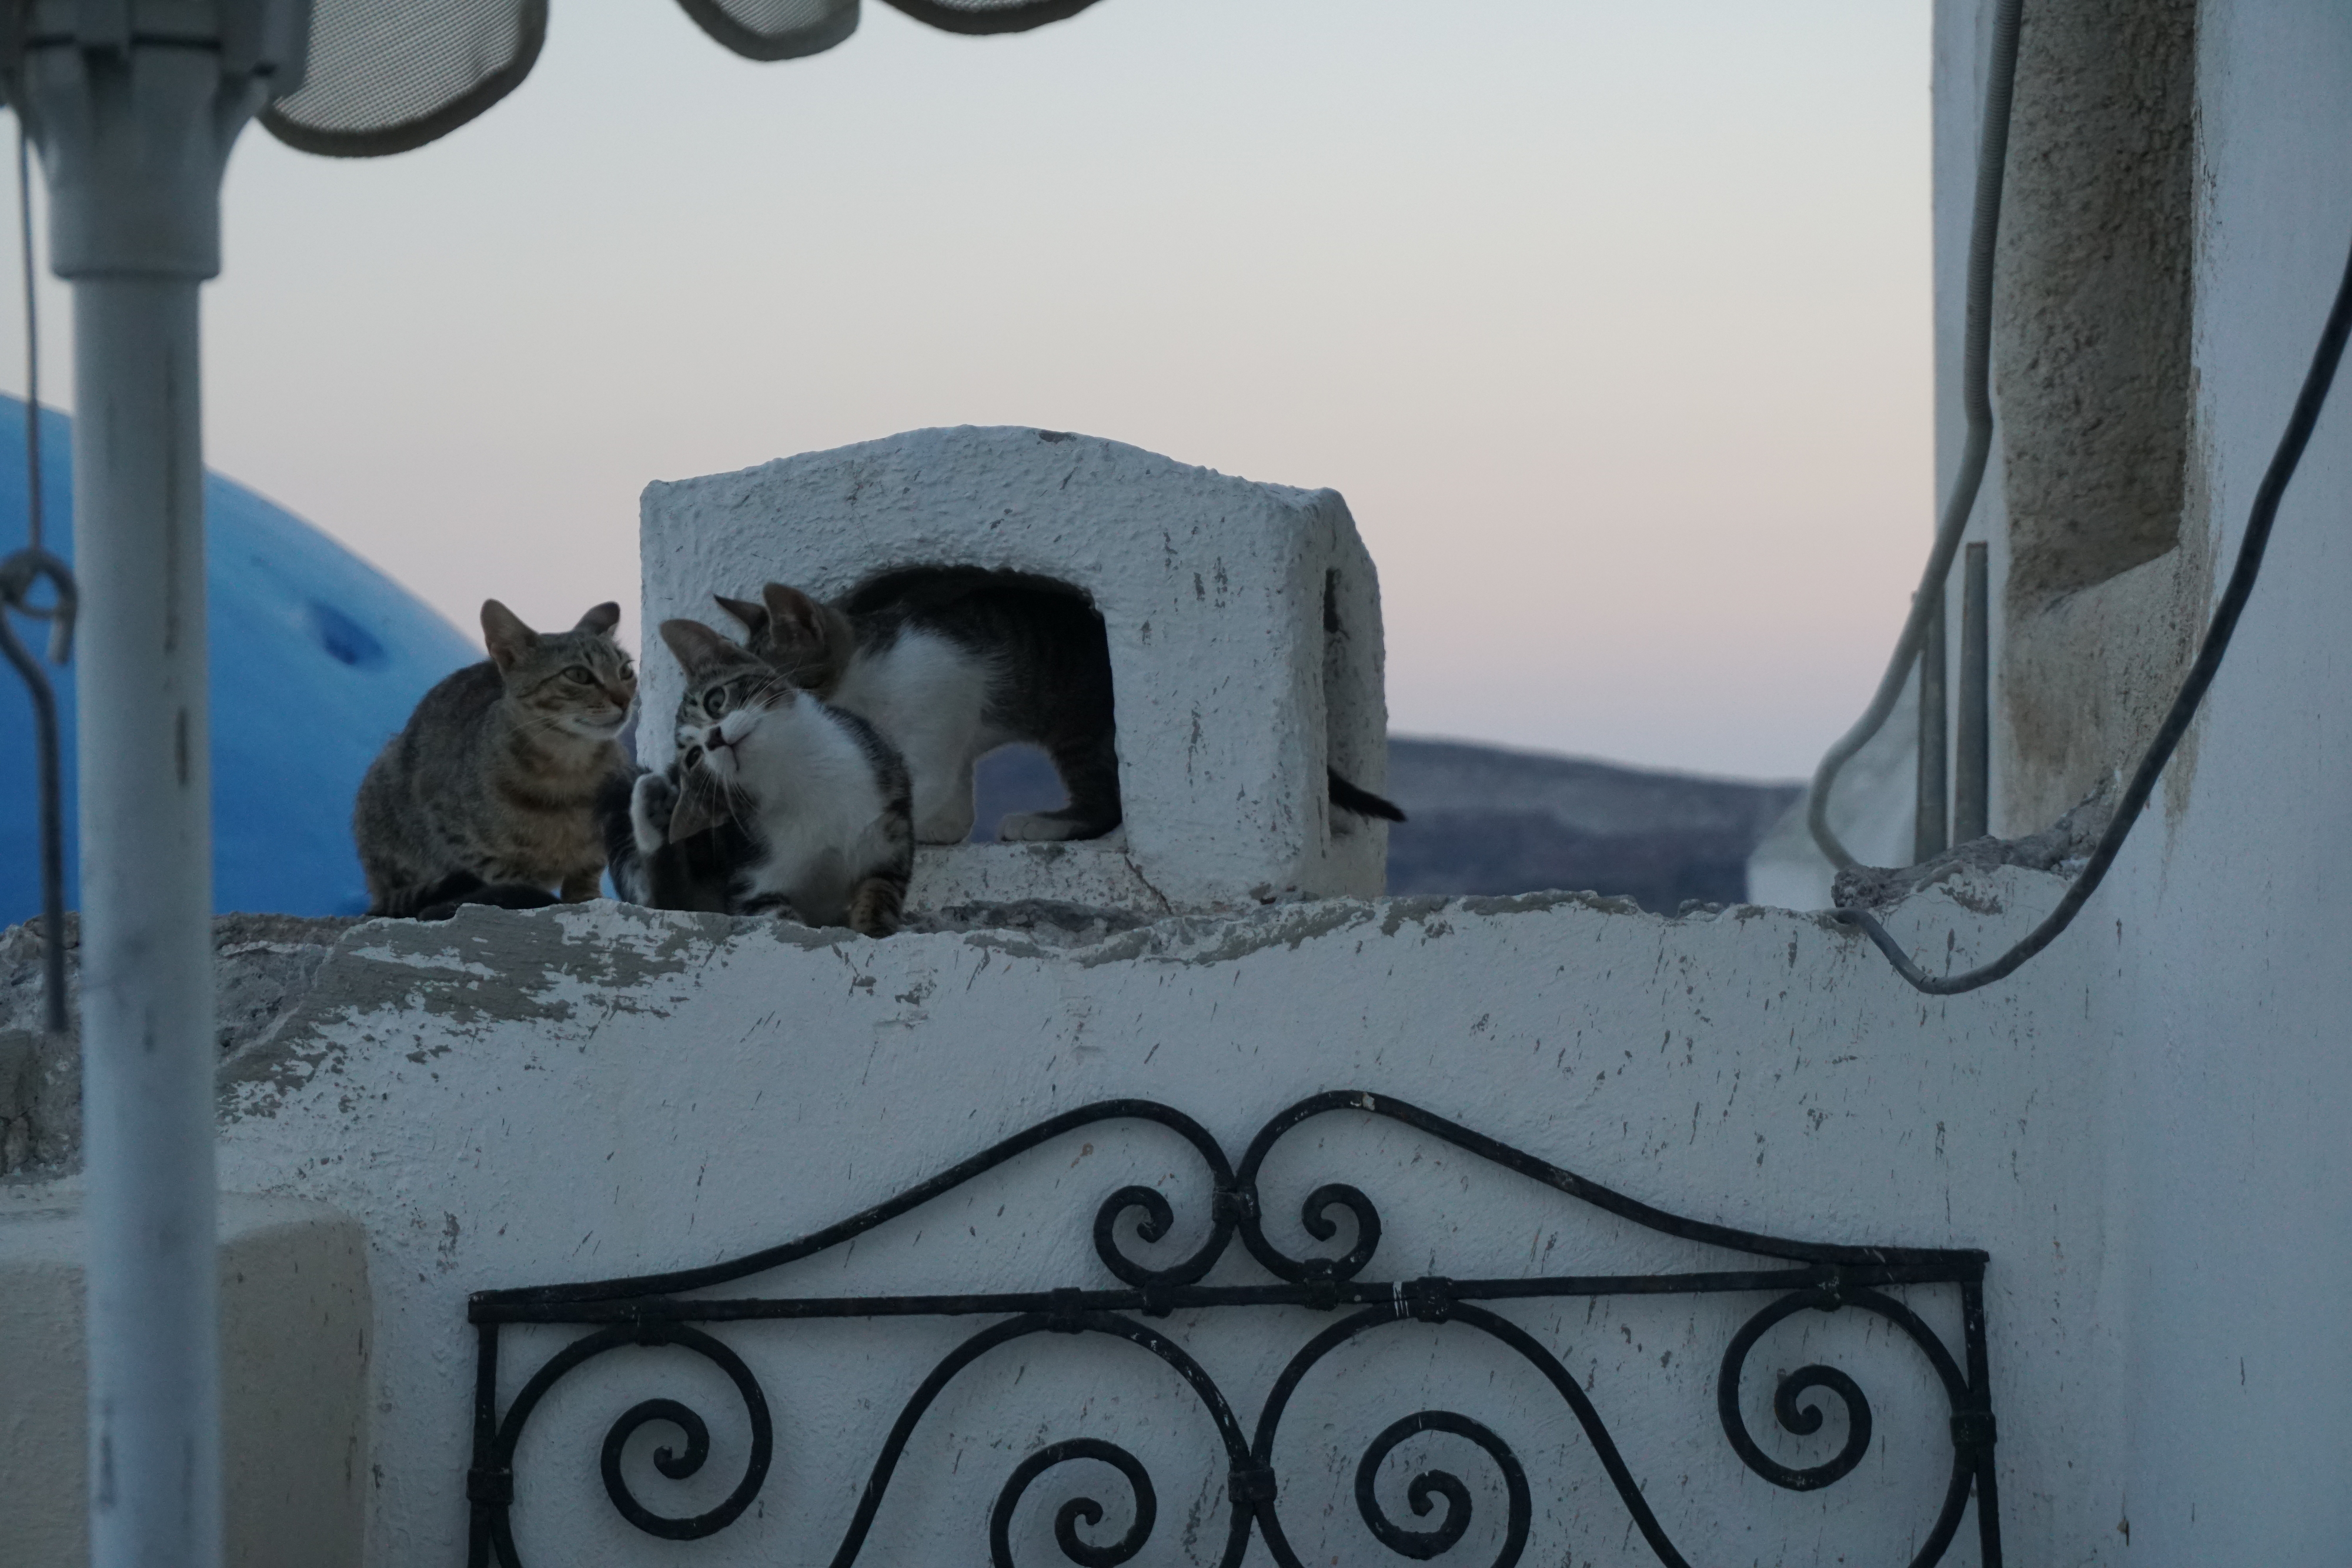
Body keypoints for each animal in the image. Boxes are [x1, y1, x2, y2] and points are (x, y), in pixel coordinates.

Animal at [343, 601, 630, 921]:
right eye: (579, 675)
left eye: (626, 671)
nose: (625, 699)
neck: (569, 774)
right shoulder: (454, 831)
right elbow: (511, 878)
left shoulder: (603, 836)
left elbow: (586, 872)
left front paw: (586, 899)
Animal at [602, 611, 913, 931]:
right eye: (695, 757)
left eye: (715, 701)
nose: (714, 739)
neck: (801, 776)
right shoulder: (751, 885)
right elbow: (780, 919)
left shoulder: (892, 834)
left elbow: (880, 894)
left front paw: (876, 926)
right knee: (668, 901)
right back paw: (654, 815)